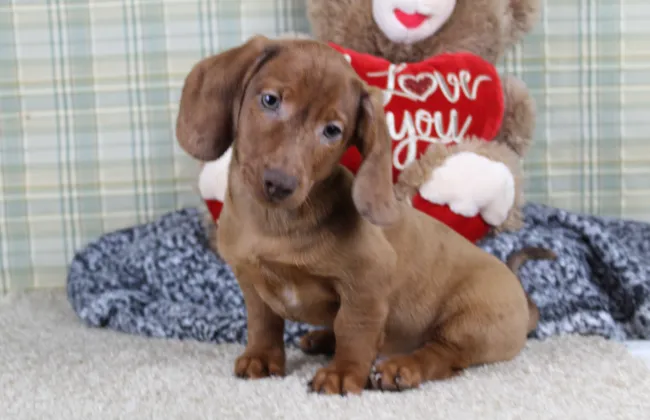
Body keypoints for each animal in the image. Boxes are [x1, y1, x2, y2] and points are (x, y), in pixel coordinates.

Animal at [173, 34, 552, 396]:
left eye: (332, 130)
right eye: (269, 100)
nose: (280, 184)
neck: (274, 225)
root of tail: (520, 295)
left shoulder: (366, 282)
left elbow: (353, 329)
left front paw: (342, 374)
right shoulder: (251, 281)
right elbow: (264, 322)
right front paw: (263, 358)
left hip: (471, 320)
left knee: (443, 355)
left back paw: (401, 368)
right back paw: (322, 339)